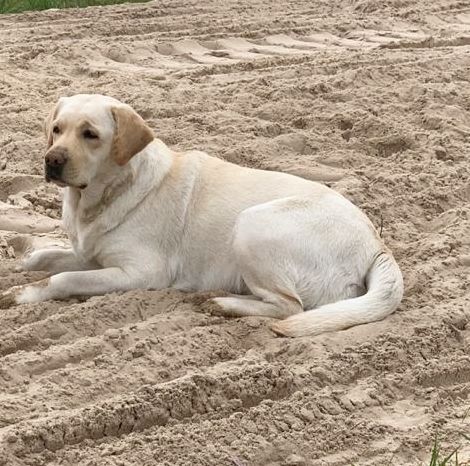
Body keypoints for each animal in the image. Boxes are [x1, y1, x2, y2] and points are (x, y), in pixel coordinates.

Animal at [0, 94, 404, 336]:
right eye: (57, 129)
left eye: (90, 134)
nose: (51, 160)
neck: (101, 196)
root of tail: (377, 244)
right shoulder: (89, 252)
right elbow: (42, 257)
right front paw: (18, 267)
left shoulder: (140, 272)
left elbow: (63, 278)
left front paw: (22, 295)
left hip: (253, 224)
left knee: (290, 307)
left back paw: (221, 303)